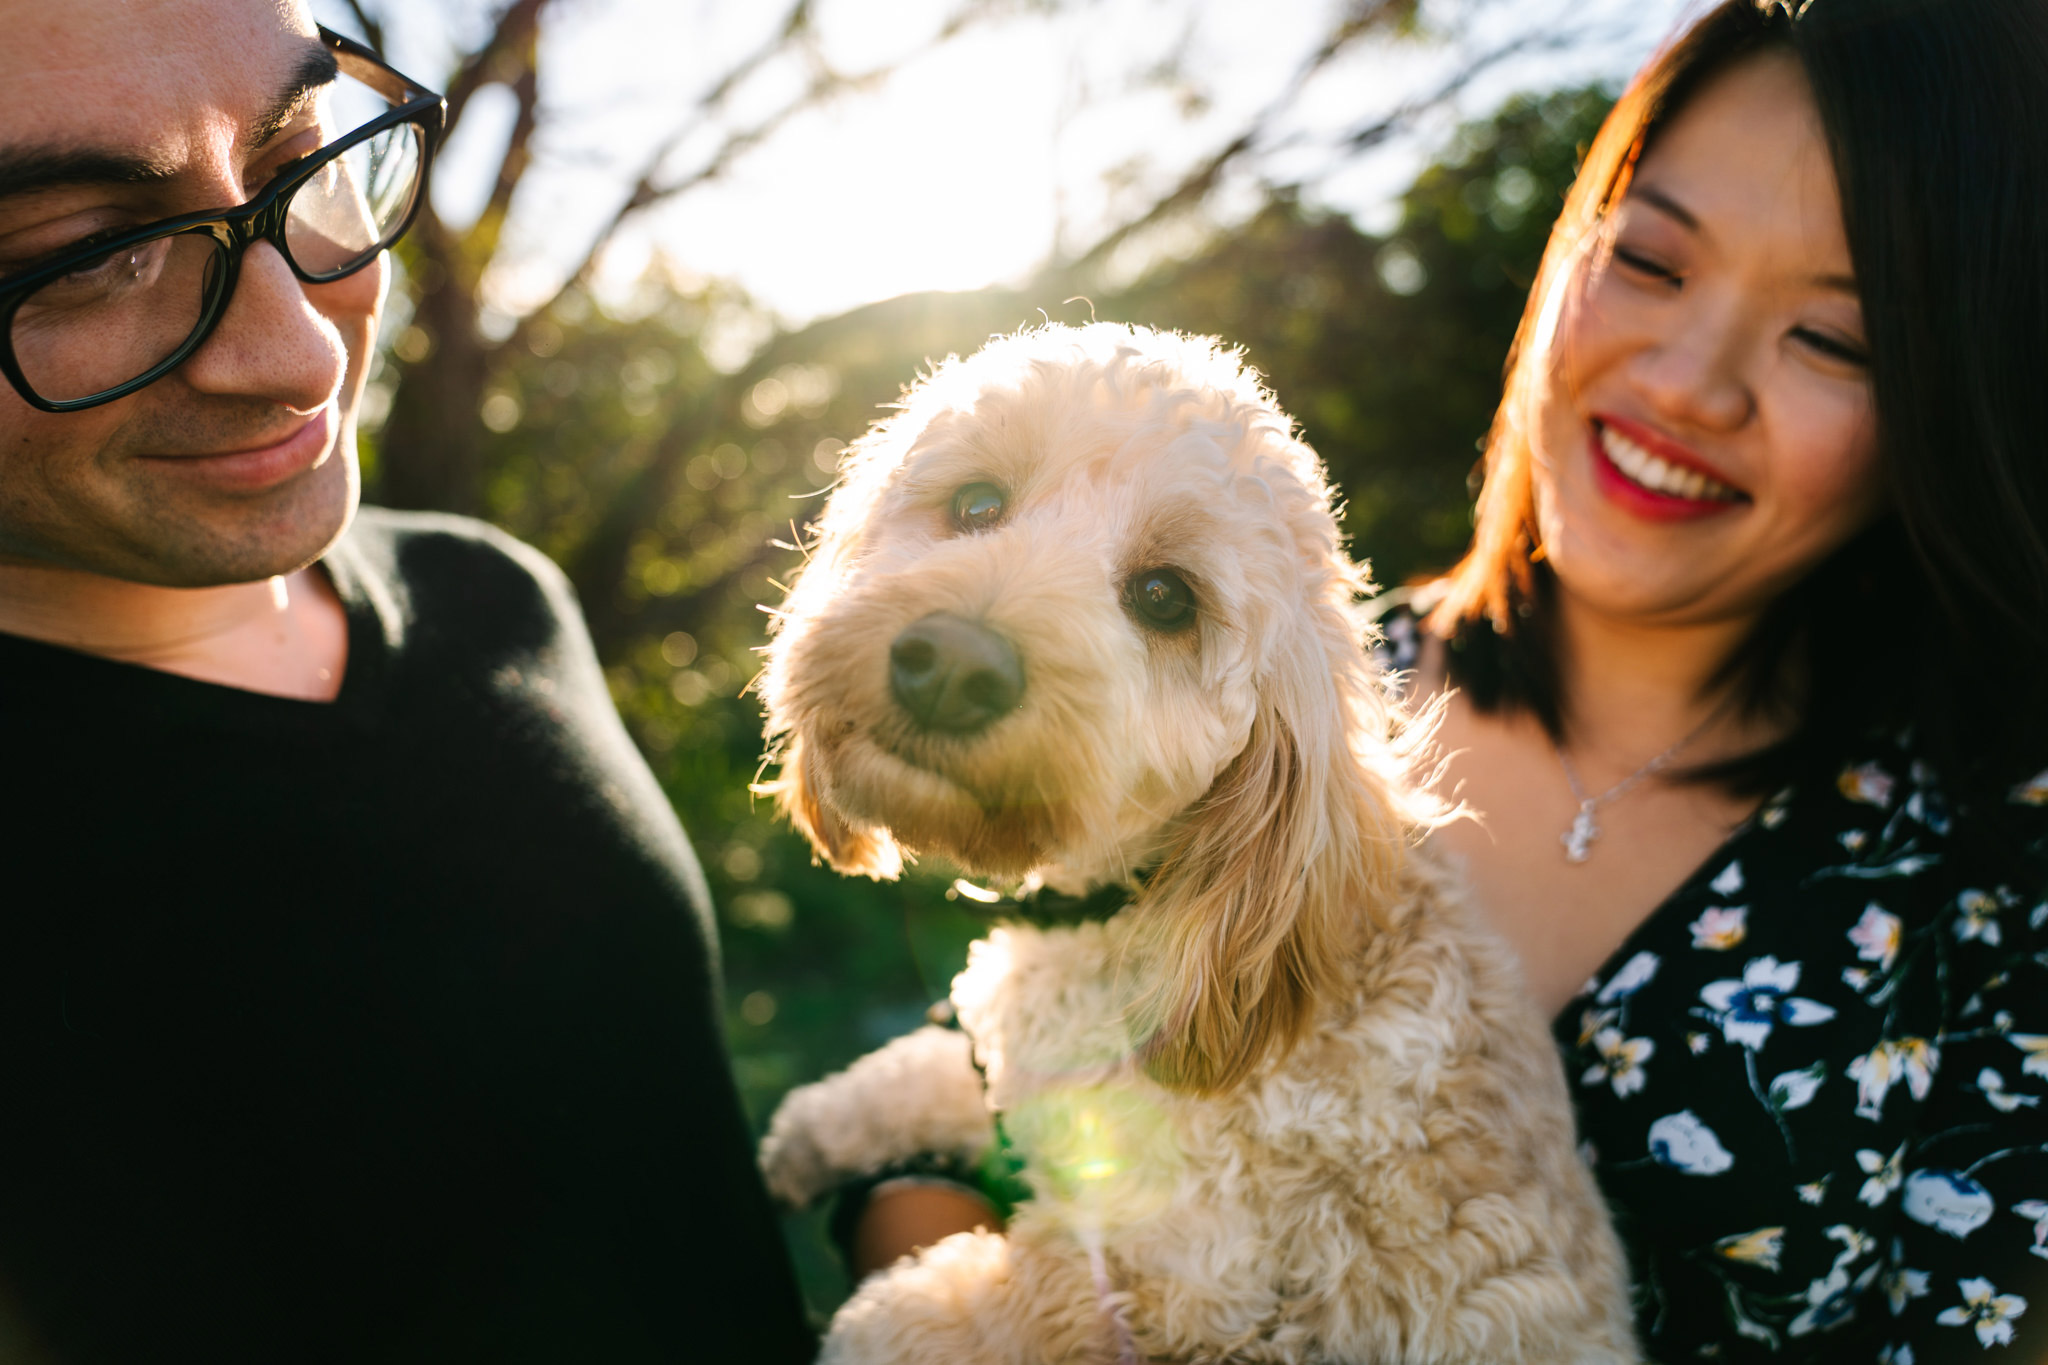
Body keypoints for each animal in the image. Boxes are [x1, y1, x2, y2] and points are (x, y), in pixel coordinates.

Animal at [753, 325, 1630, 1358]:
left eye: (1165, 598)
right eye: (975, 504)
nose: (953, 666)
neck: (1132, 905)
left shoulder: (1186, 1288)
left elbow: (926, 1314)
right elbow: (941, 1072)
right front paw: (815, 1125)